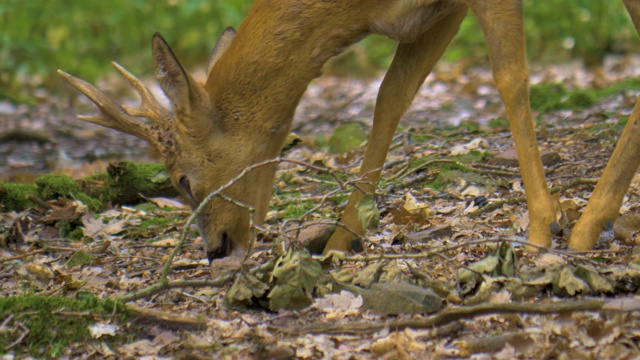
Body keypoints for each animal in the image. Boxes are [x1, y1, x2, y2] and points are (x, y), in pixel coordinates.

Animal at [57, 1, 640, 262]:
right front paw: (341, 239)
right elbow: (390, 98)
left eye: (180, 179)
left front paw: (543, 224)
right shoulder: (433, 13)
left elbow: (511, 78)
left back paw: (586, 225)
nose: (217, 249)